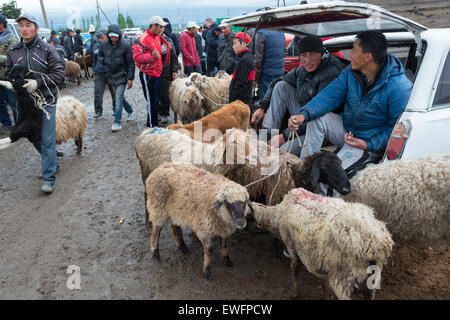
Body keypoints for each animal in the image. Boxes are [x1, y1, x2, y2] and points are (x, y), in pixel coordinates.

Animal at [253, 188, 394, 300]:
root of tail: (377, 244)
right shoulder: (321, 260)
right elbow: (324, 282)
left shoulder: (291, 245)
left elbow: (294, 268)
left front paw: (293, 293)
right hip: (372, 280)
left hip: (343, 278)